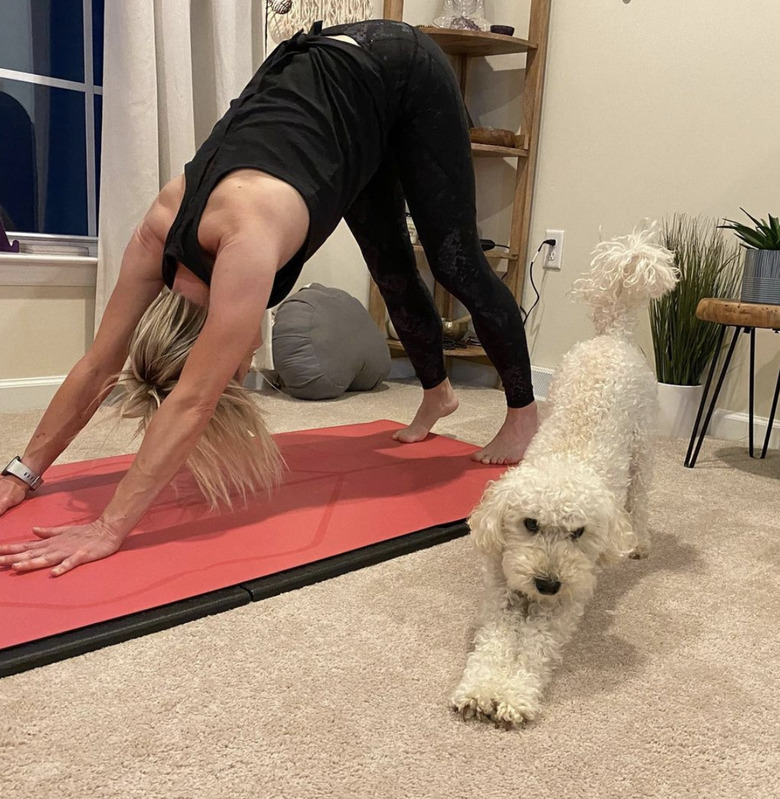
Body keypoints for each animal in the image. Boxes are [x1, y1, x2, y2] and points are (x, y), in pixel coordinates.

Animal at [450, 222, 676, 728]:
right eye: (530, 524)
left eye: (579, 533)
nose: (548, 584)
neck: (565, 462)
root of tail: (613, 335)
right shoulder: (501, 592)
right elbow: (492, 645)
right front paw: (479, 690)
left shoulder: (562, 607)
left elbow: (533, 650)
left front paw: (513, 696)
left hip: (644, 452)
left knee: (642, 502)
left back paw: (641, 543)